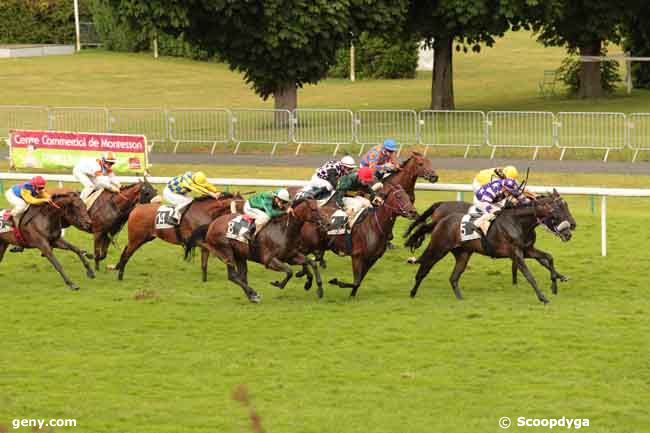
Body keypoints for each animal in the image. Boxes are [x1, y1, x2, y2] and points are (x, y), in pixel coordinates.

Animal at [114, 194, 243, 282]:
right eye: (242, 208)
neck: (204, 211)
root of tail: (136, 208)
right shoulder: (196, 241)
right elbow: (219, 254)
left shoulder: (204, 243)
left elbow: (204, 263)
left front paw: (204, 280)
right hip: (137, 238)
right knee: (127, 254)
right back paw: (120, 276)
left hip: (143, 238)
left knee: (125, 250)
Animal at [182, 197, 324, 302]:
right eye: (313, 209)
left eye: (319, 208)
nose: (326, 223)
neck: (284, 230)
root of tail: (211, 224)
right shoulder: (269, 260)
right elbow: (289, 271)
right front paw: (278, 283)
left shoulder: (291, 256)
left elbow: (312, 263)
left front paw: (315, 287)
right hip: (226, 252)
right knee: (233, 276)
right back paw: (253, 293)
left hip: (240, 255)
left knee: (241, 276)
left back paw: (251, 296)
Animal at [402, 192, 576, 304]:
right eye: (557, 210)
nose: (569, 231)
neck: (519, 222)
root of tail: (441, 220)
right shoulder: (516, 254)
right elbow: (529, 275)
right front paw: (543, 297)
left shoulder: (527, 250)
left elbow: (548, 258)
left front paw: (555, 284)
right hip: (438, 248)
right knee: (424, 268)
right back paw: (412, 293)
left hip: (463, 254)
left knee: (453, 278)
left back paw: (461, 299)